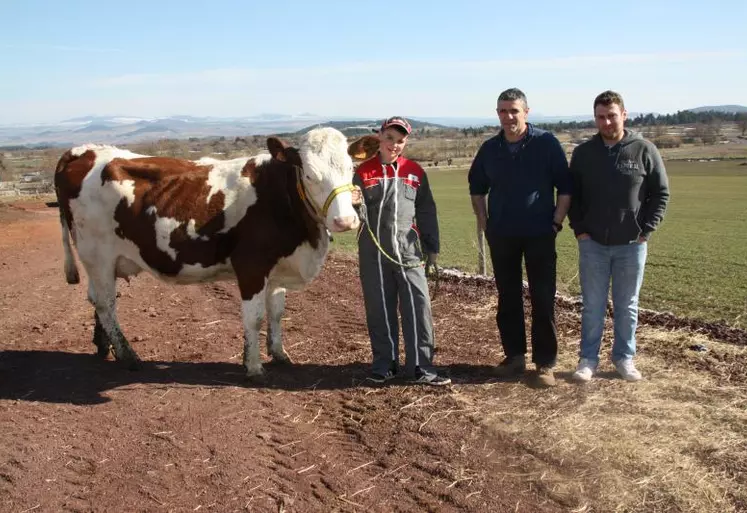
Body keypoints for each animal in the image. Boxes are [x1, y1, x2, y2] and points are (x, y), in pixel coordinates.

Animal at [54, 128, 376, 380]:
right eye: (309, 174)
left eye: (351, 169)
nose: (345, 220)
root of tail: (85, 150)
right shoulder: (251, 266)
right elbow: (254, 317)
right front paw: (254, 366)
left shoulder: (278, 268)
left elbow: (276, 312)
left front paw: (280, 354)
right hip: (97, 255)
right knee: (105, 303)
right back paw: (127, 355)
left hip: (100, 262)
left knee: (96, 299)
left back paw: (103, 346)